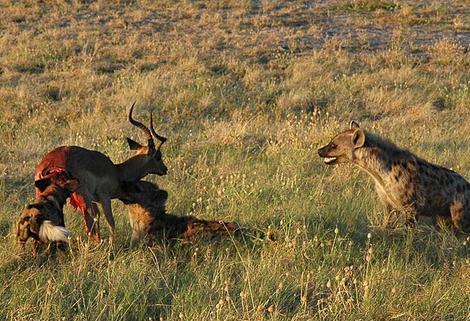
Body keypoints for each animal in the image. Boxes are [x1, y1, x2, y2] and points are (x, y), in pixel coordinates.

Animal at [318, 120, 468, 230]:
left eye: (333, 145)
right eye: (331, 142)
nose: (319, 150)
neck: (380, 174)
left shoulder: (411, 207)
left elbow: (409, 232)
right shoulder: (388, 203)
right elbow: (388, 221)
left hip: (459, 214)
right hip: (441, 217)